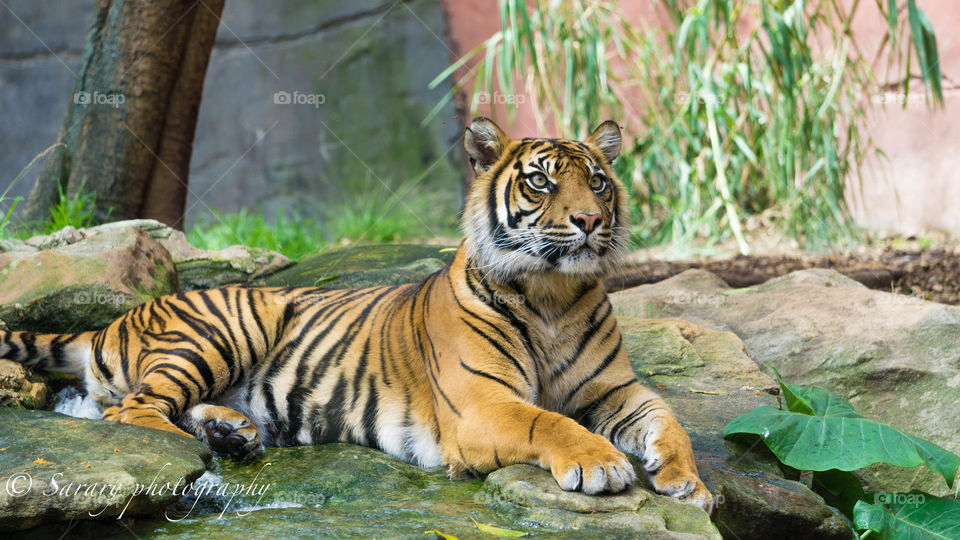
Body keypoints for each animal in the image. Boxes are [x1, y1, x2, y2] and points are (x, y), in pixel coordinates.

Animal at [0, 118, 712, 511]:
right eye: (540, 181)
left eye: (598, 181)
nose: (590, 220)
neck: (552, 298)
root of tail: (108, 323)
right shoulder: (484, 406)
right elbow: (549, 422)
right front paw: (602, 463)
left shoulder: (615, 389)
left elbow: (668, 419)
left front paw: (687, 483)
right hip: (236, 320)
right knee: (134, 412)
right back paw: (200, 452)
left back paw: (232, 433)